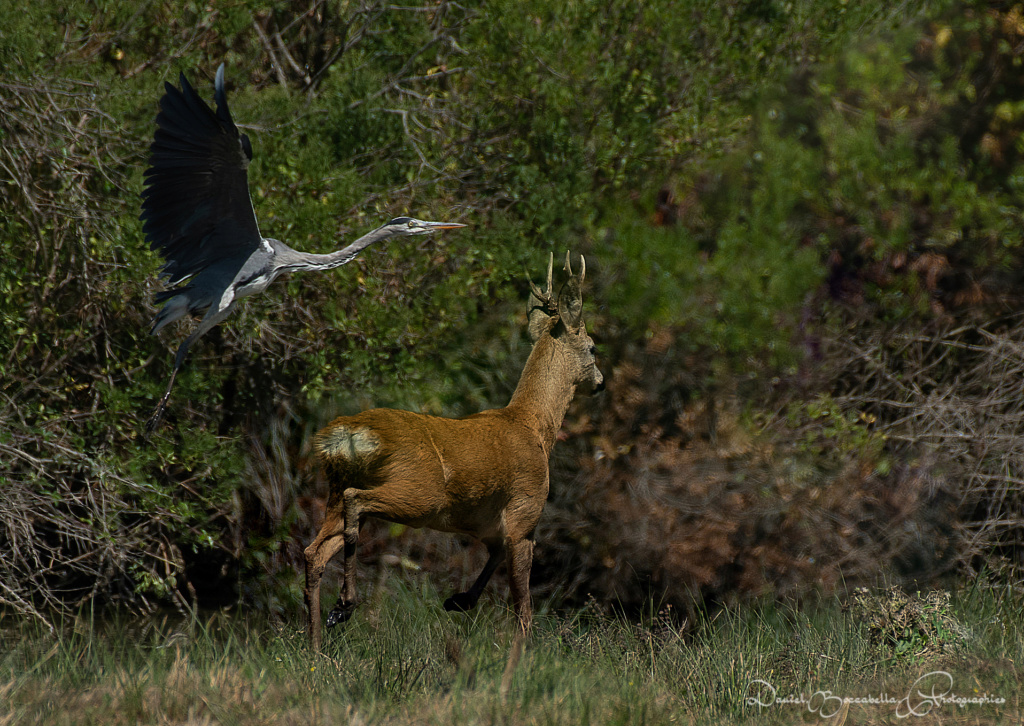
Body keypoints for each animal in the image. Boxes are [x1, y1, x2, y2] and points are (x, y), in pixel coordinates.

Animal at [307, 251, 602, 647]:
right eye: (593, 347)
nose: (600, 382)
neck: (534, 427)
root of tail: (347, 435)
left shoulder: (487, 523)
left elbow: (493, 556)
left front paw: (458, 600)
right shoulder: (525, 513)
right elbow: (522, 605)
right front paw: (523, 650)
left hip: (335, 491)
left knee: (313, 552)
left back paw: (317, 642)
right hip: (420, 494)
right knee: (357, 502)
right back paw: (345, 604)